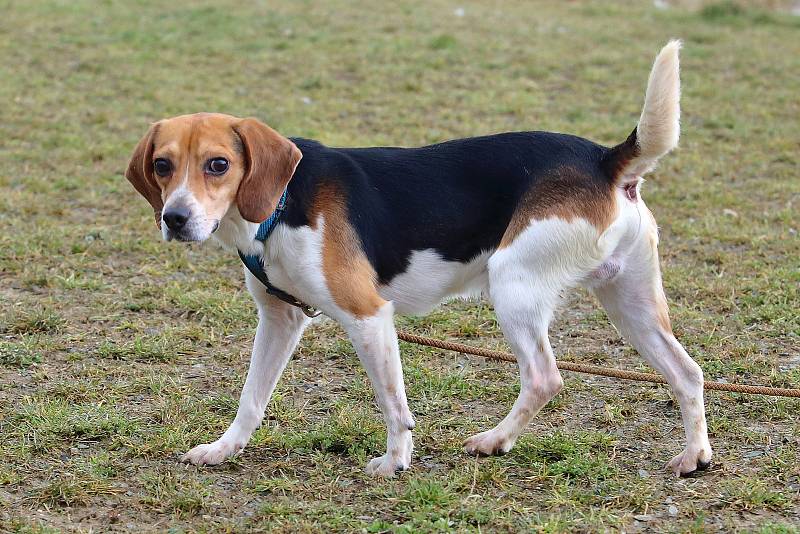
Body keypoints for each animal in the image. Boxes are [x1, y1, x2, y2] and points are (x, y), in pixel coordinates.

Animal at [125, 40, 712, 478]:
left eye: (218, 165)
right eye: (162, 166)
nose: (174, 218)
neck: (283, 201)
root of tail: (603, 160)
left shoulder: (367, 316)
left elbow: (393, 404)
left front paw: (395, 462)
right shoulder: (280, 318)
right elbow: (251, 397)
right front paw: (224, 449)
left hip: (513, 283)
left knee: (545, 377)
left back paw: (495, 440)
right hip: (630, 304)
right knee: (687, 372)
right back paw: (693, 456)